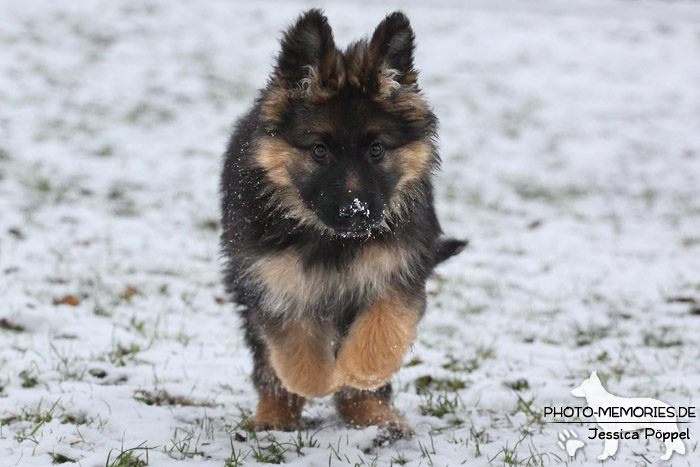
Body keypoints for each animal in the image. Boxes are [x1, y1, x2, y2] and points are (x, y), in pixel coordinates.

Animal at [219, 10, 464, 438]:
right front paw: (322, 378)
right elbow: (296, 351)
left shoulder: (398, 270)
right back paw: (272, 418)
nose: (356, 212)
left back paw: (378, 419)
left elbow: (383, 333)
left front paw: (357, 371)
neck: (334, 240)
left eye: (377, 149)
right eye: (319, 150)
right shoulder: (274, 282)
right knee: (268, 368)